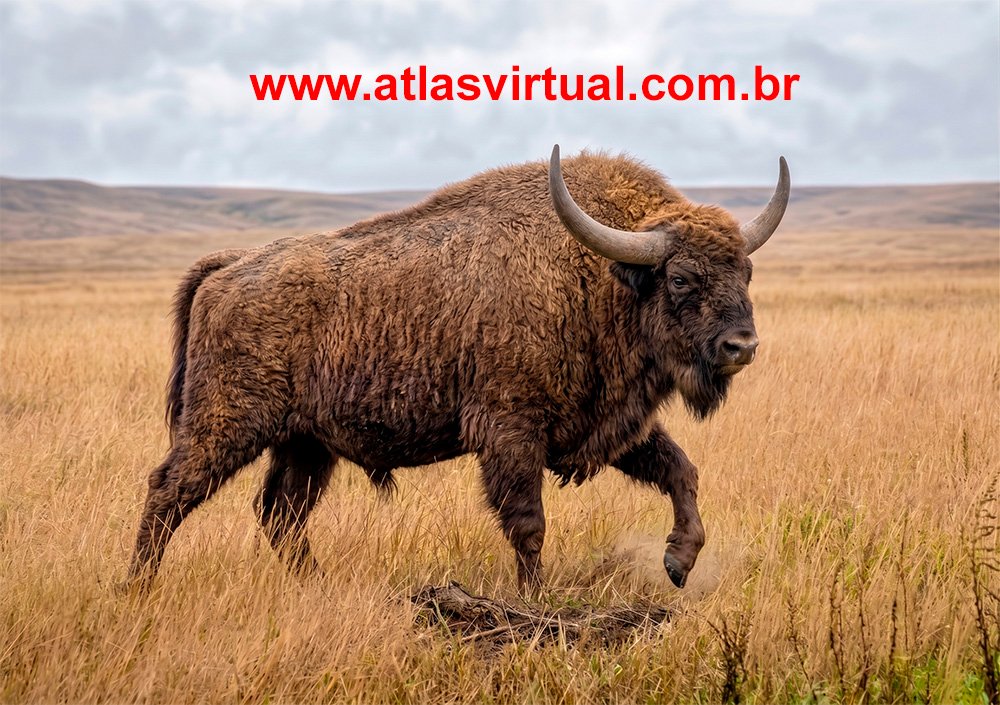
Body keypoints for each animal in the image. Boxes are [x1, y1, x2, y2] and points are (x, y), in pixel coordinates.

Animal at [127, 145, 789, 591]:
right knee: (170, 491)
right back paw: (138, 588)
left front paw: (679, 562)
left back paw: (316, 585)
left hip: (305, 444)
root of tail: (230, 266)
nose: (742, 346)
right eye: (680, 278)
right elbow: (528, 523)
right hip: (228, 425)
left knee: (280, 515)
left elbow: (682, 472)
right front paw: (536, 600)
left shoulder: (610, 429)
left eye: (746, 272)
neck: (601, 277)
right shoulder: (512, 434)